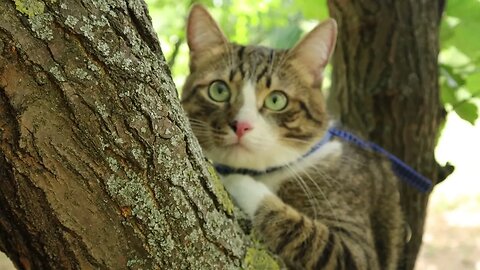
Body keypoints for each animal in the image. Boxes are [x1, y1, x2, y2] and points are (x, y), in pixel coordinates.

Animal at [182, 4, 406, 270]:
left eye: (276, 100)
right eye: (218, 90)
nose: (241, 126)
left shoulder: (357, 250)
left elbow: (301, 230)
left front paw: (235, 180)